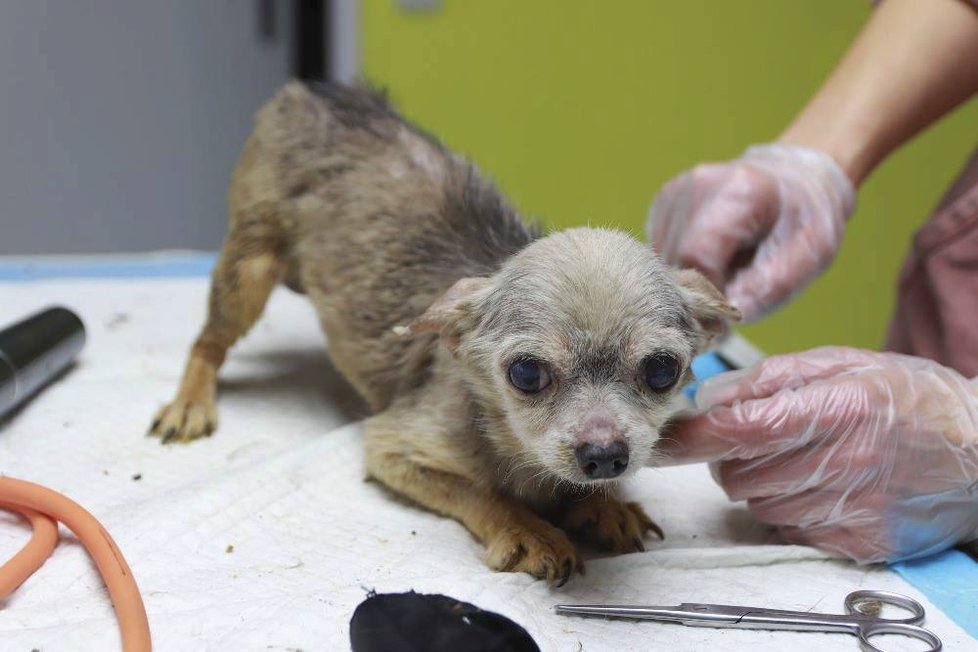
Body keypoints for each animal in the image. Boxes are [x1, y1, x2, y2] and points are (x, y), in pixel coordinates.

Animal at [149, 81, 736, 584]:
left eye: (662, 370)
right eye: (526, 374)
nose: (605, 455)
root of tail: (311, 88)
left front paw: (601, 505)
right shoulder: (394, 449)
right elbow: (482, 494)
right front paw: (529, 529)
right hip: (250, 268)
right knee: (208, 342)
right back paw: (190, 403)